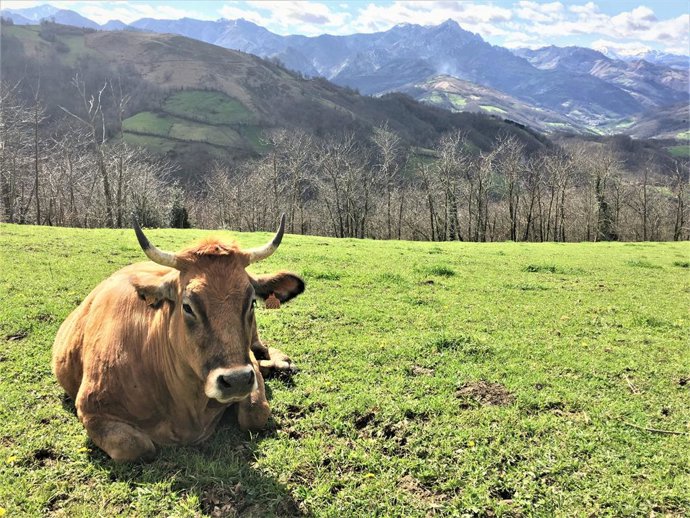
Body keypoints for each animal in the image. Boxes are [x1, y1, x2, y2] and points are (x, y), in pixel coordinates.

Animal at [52, 214, 304, 462]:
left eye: (251, 302)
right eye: (187, 306)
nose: (237, 380)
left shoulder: (248, 364)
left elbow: (255, 414)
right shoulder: (91, 410)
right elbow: (137, 447)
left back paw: (282, 363)